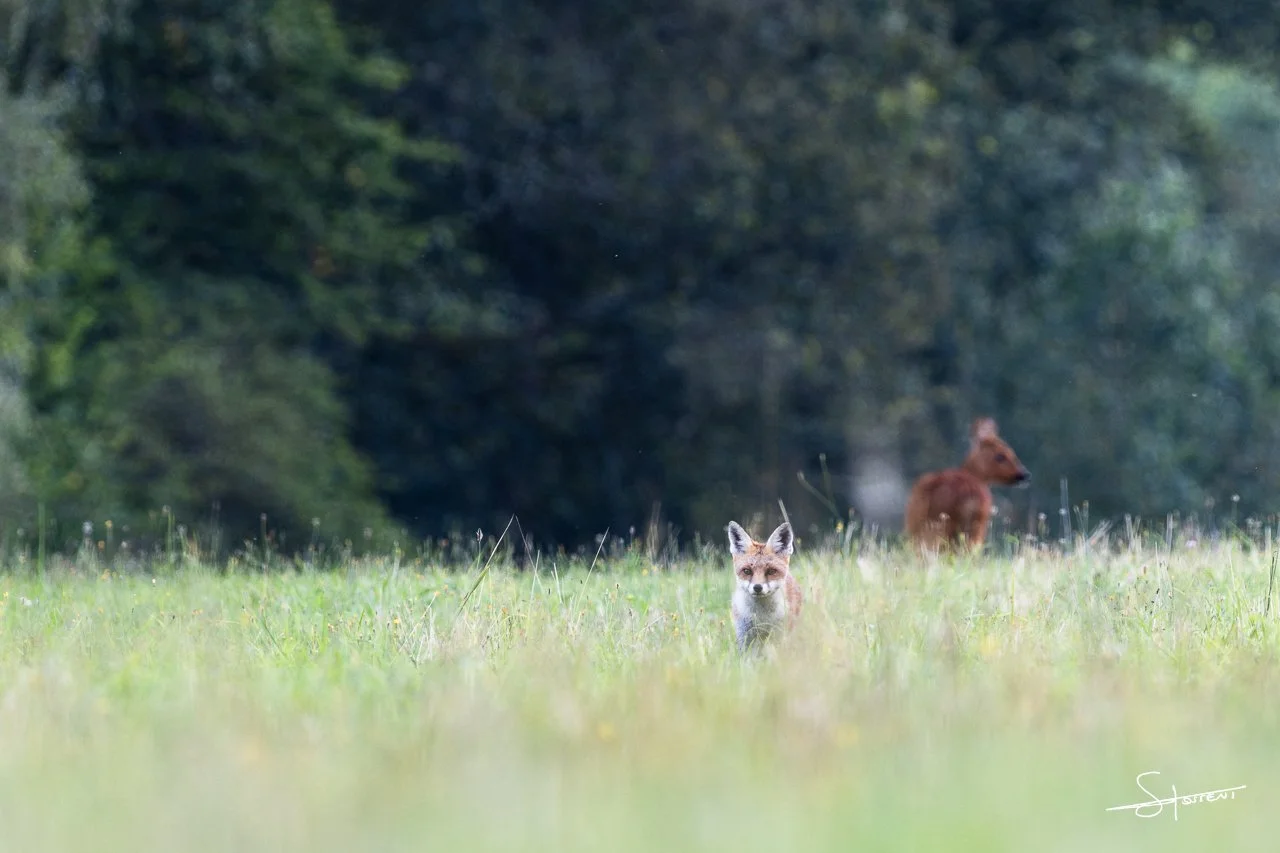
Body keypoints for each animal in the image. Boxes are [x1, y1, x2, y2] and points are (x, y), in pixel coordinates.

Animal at [727, 520, 803, 652]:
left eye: (771, 571)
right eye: (747, 571)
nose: (757, 587)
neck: (762, 617)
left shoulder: (780, 635)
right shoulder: (745, 635)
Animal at [904, 417, 1030, 553]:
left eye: (1012, 452)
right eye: (1000, 456)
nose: (1025, 474)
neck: (975, 476)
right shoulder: (980, 522)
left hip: (915, 521)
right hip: (959, 525)